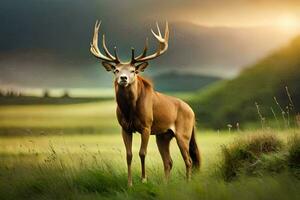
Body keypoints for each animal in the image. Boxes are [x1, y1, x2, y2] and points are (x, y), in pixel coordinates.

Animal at [89, 20, 202, 186]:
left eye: (133, 71)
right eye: (116, 70)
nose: (123, 78)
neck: (129, 110)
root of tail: (192, 111)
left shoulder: (146, 126)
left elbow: (142, 153)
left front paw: (143, 180)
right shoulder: (125, 128)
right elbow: (129, 154)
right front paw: (129, 183)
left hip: (184, 133)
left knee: (189, 160)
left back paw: (187, 183)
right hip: (163, 135)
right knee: (169, 161)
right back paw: (165, 184)